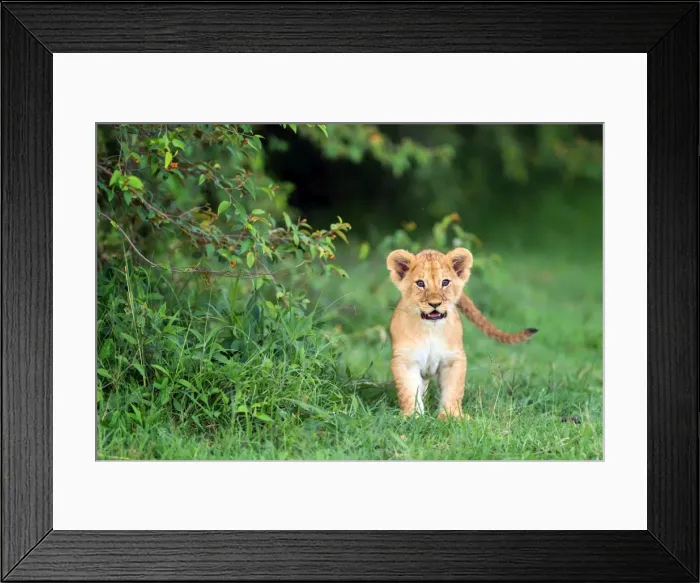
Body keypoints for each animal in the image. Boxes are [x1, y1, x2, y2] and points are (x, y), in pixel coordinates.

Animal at [386, 247, 537, 418]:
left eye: (445, 282)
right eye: (420, 283)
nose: (435, 304)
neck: (431, 329)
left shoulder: (453, 359)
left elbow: (453, 390)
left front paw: (451, 417)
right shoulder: (405, 361)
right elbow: (409, 392)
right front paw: (412, 417)